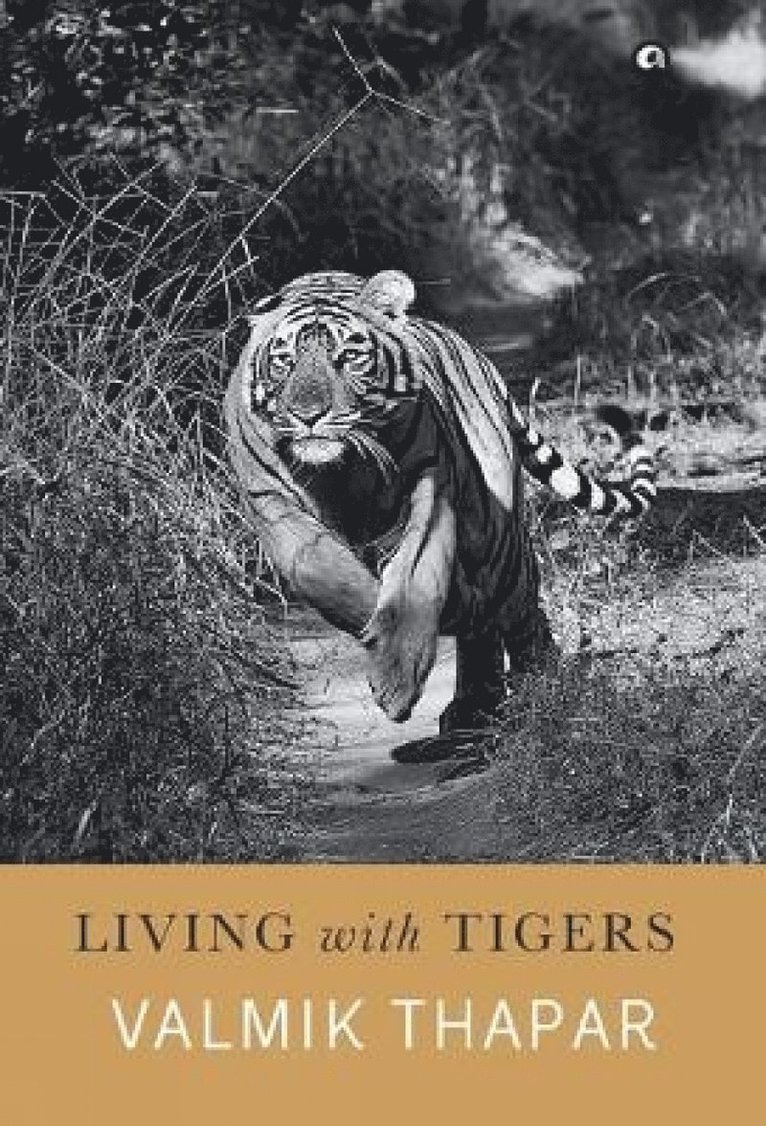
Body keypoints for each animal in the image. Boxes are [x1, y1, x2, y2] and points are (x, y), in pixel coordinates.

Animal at [224, 269, 655, 734]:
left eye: (349, 357)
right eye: (283, 361)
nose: (308, 415)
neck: (339, 473)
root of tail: (483, 361)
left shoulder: (429, 486)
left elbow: (417, 576)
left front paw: (396, 678)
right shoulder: (270, 500)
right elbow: (324, 573)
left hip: (493, 540)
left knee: (521, 610)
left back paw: (541, 690)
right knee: (486, 622)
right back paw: (477, 699)